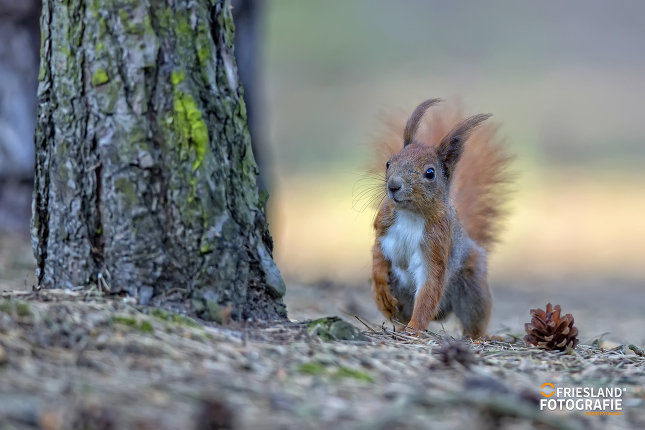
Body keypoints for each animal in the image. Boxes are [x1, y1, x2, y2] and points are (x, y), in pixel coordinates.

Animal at [370, 99, 510, 338]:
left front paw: (414, 330)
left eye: (430, 173)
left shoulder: (436, 246)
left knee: (472, 318)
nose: (393, 186)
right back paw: (398, 322)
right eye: (389, 163)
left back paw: (479, 338)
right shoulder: (383, 228)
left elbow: (429, 289)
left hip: (473, 289)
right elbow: (378, 258)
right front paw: (381, 291)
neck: (411, 213)